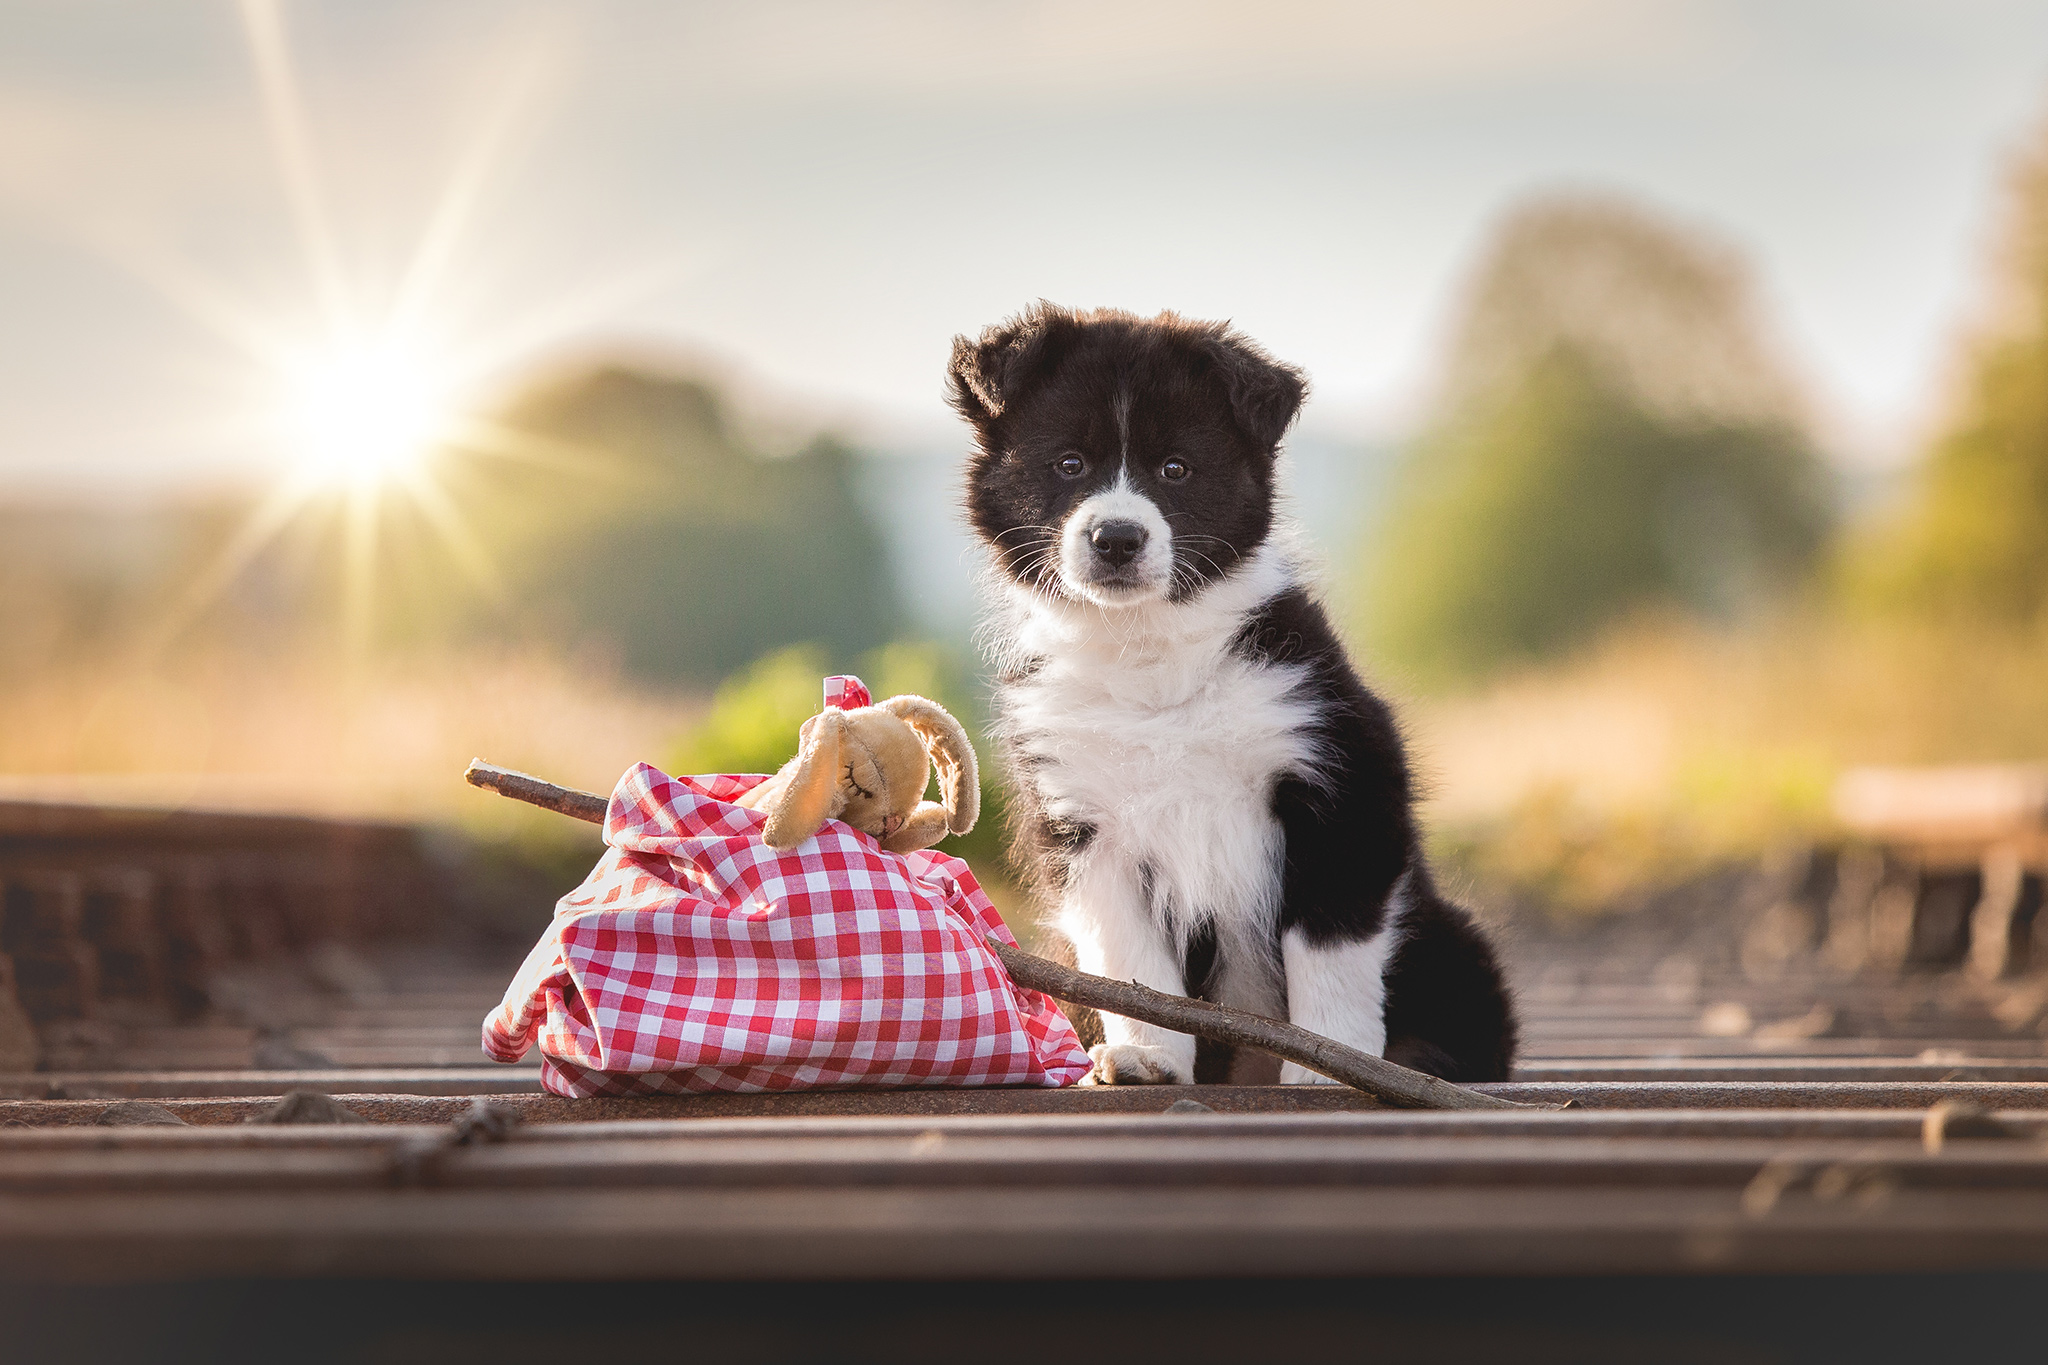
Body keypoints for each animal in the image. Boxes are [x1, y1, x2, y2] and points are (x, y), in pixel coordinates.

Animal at [950, 306, 1515, 1088]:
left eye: (1175, 469)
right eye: (1069, 464)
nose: (1117, 537)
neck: (1150, 656)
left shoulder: (1344, 782)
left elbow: (1330, 947)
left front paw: (1331, 1063)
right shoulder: (1084, 826)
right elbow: (1132, 963)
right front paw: (1149, 1056)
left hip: (1457, 943)